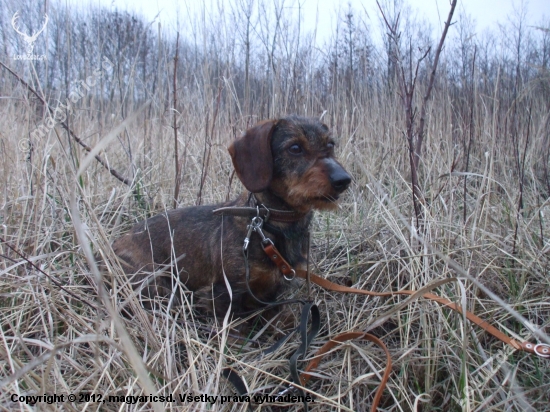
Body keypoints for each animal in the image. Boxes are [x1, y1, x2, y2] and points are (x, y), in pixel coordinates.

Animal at [111, 114, 354, 320]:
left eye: (331, 145)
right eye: (295, 148)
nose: (344, 179)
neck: (270, 225)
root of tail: (115, 243)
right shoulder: (222, 294)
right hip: (155, 283)